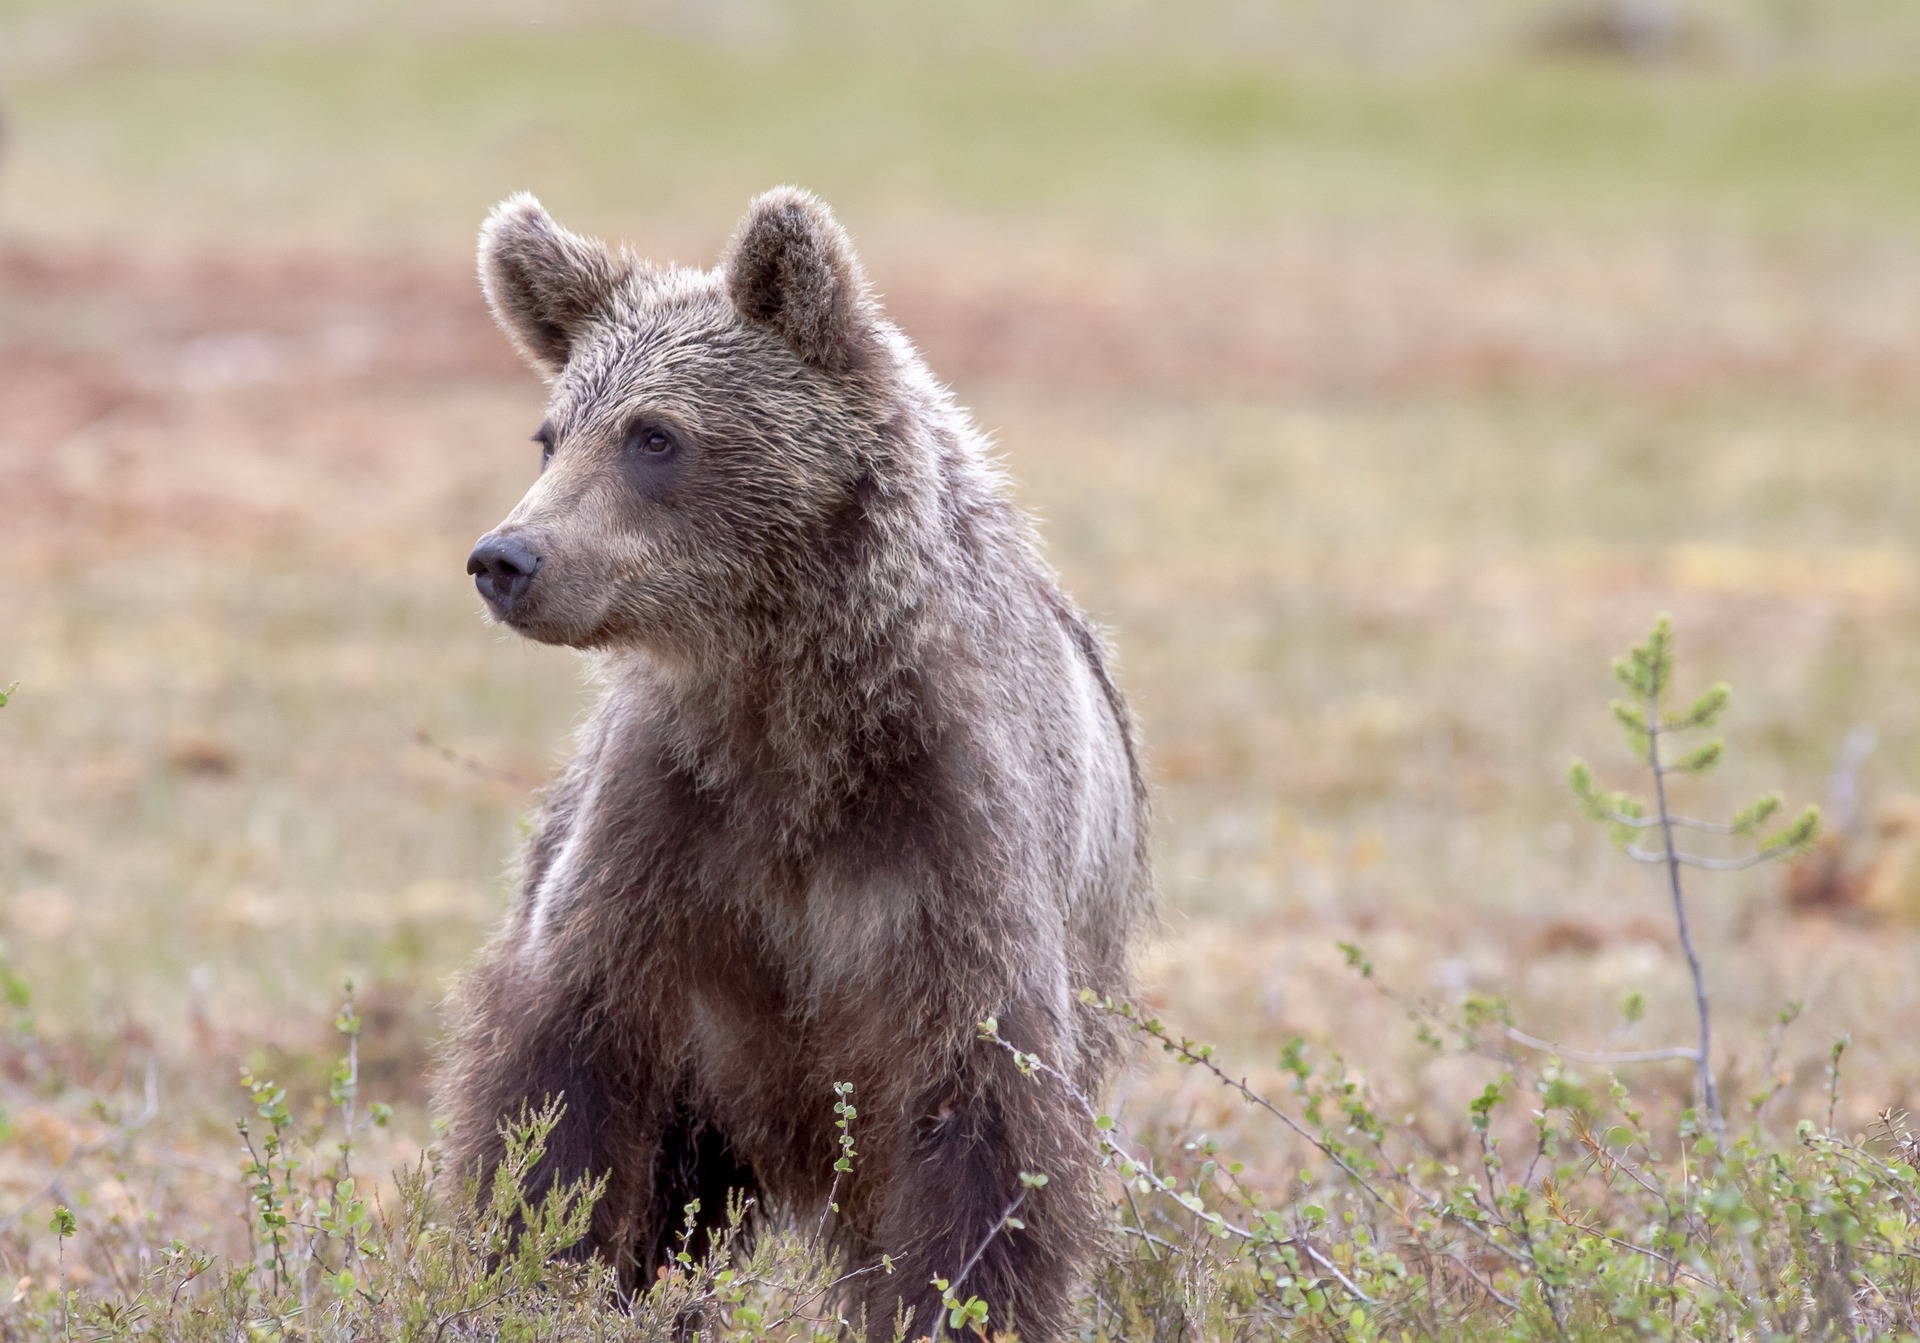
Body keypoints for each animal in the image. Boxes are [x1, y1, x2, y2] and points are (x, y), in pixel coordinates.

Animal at [440, 187, 1153, 1342]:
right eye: (551, 433)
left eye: (654, 434)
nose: (507, 557)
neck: (794, 716)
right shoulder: (665, 836)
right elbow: (558, 1099)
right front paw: (532, 1270)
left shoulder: (950, 845)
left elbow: (984, 1141)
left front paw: (960, 1304)